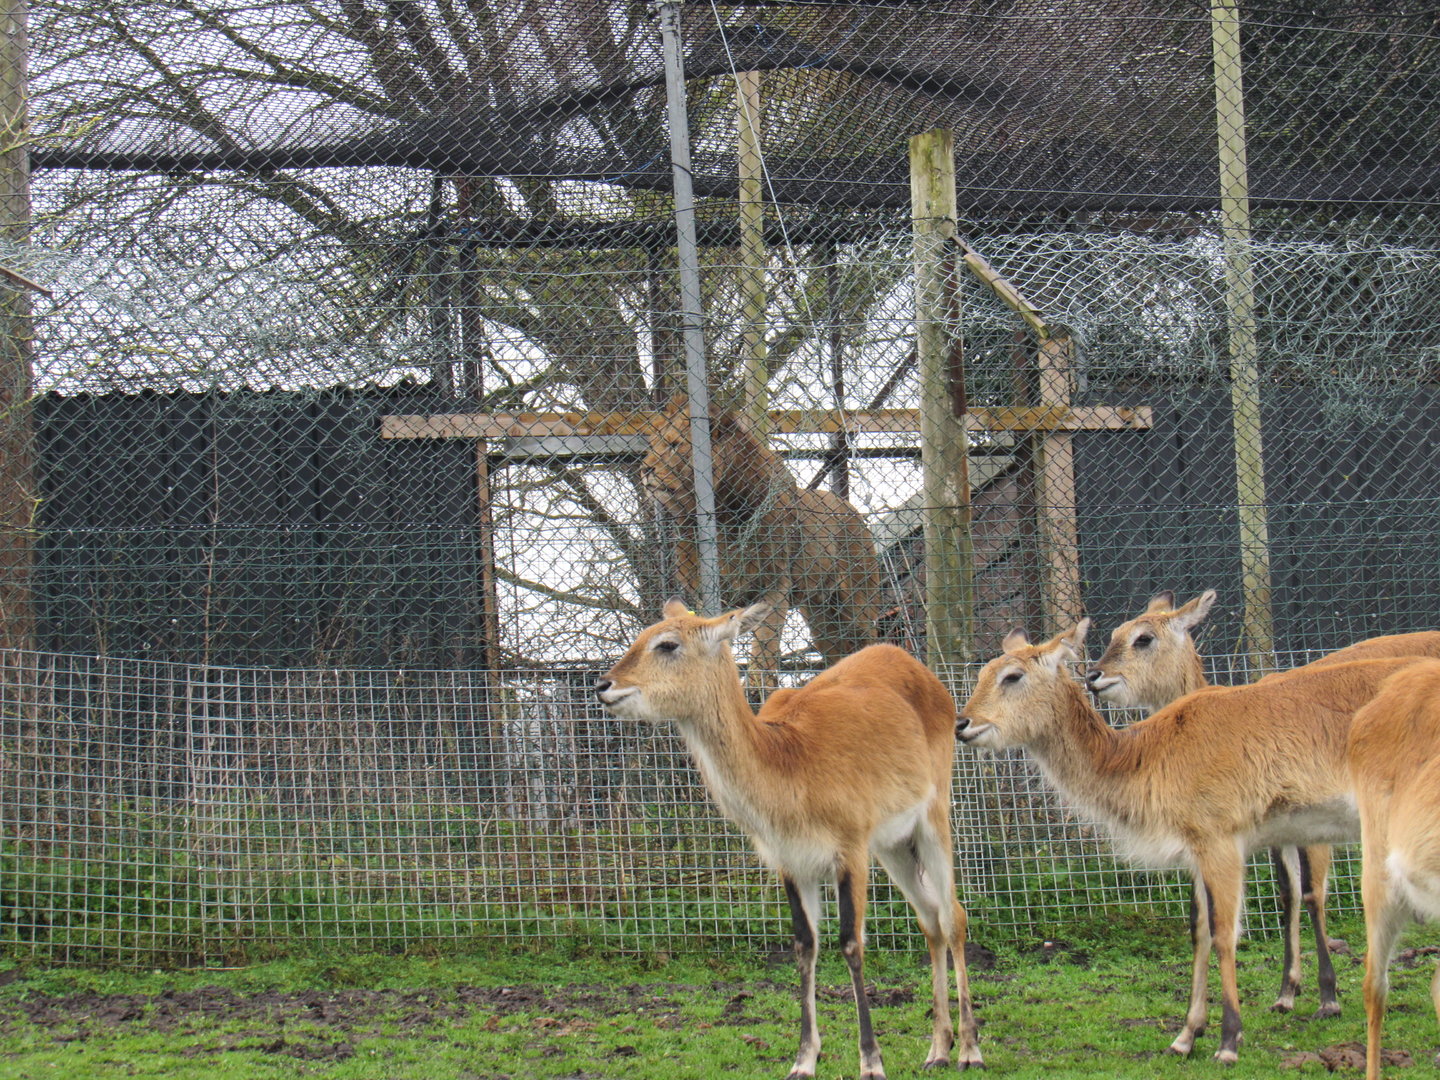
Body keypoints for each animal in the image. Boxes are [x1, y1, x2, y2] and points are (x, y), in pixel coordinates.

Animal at [641, 397, 881, 690]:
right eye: (652, 446)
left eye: (674, 445)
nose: (645, 469)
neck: (721, 512)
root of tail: (850, 507)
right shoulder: (704, 590)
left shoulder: (774, 584)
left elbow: (765, 641)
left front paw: (757, 687)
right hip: (820, 614)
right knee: (837, 652)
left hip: (856, 604)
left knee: (867, 641)